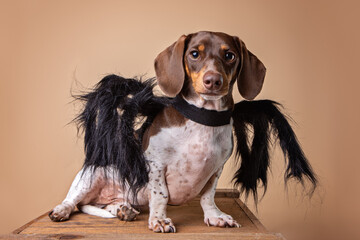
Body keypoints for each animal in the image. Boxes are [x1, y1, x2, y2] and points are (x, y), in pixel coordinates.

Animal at [49, 31, 316, 232]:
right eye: (194, 54)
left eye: (229, 55)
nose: (213, 80)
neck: (202, 120)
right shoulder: (155, 164)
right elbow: (161, 195)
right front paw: (159, 220)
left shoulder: (216, 168)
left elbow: (208, 196)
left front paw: (215, 216)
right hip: (90, 176)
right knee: (74, 201)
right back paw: (62, 210)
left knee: (108, 205)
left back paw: (123, 209)